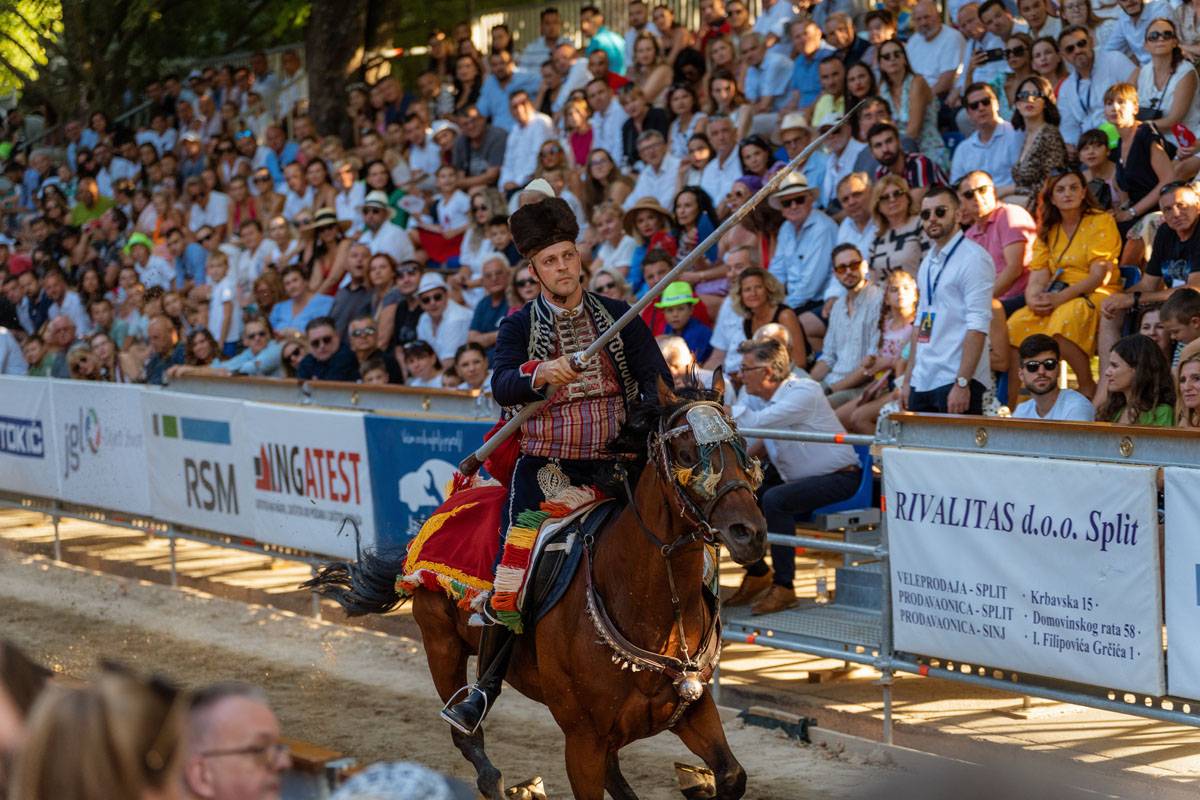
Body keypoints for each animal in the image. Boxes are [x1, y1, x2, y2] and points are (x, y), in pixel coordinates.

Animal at [304, 376, 763, 800]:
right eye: (686, 455)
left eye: (741, 449)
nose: (750, 532)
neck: (651, 608)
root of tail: (450, 501)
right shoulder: (582, 740)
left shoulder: (693, 708)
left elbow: (732, 775)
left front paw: (700, 782)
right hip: (441, 644)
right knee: (466, 734)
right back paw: (494, 770)